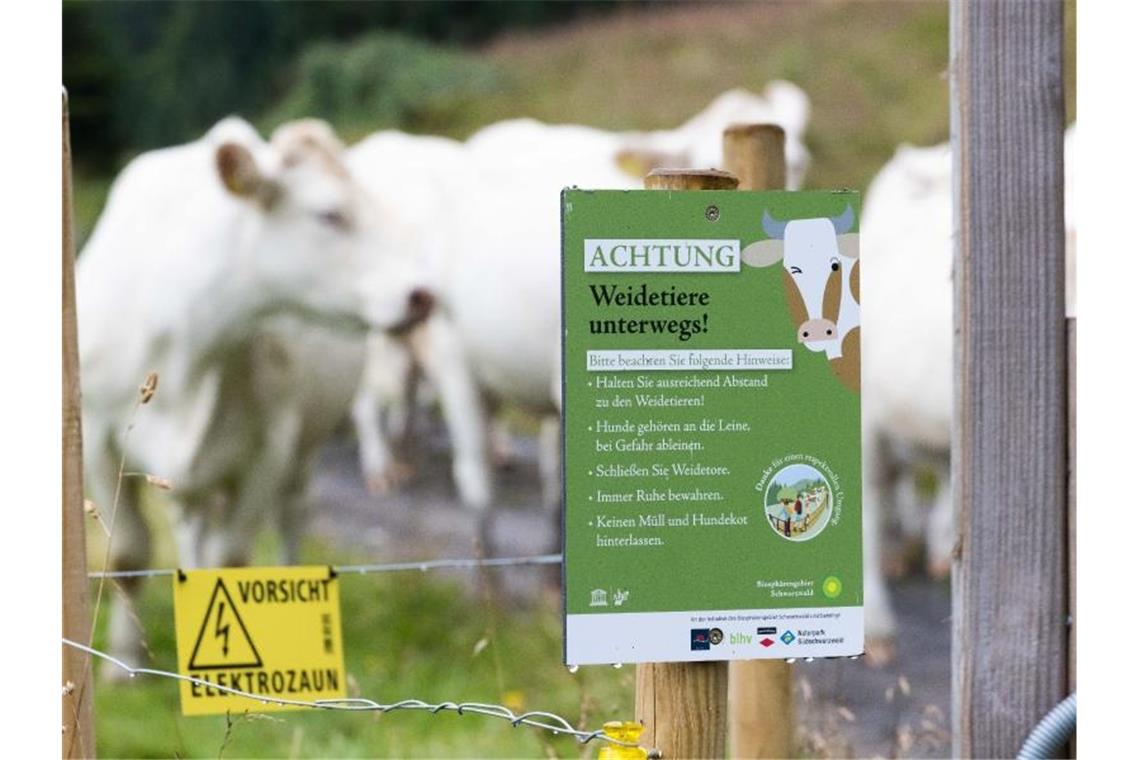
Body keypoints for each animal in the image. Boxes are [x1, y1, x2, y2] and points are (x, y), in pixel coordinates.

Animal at [78, 116, 428, 669]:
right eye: (329, 214)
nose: (423, 294)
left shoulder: (269, 450)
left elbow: (232, 560)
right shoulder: (99, 440)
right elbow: (130, 555)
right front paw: (125, 662)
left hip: (303, 450)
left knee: (290, 514)